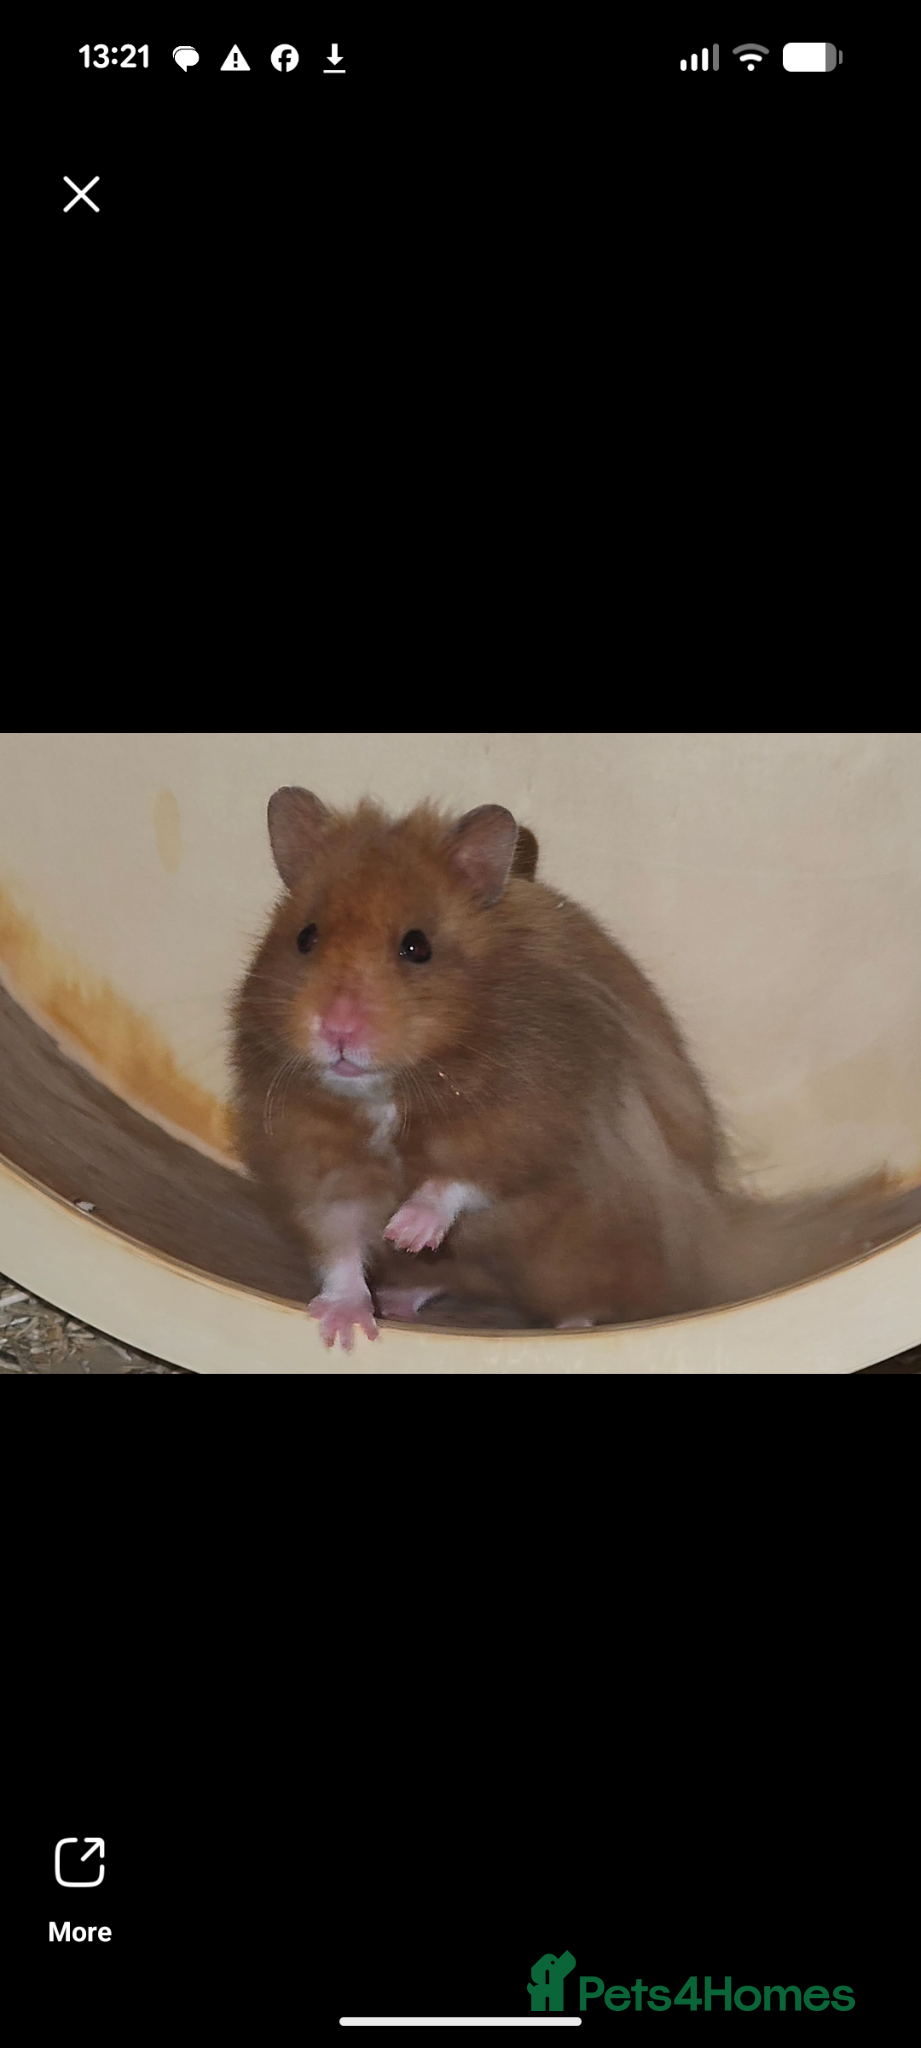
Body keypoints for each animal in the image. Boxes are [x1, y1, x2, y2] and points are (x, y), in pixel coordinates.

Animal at [230, 788, 921, 1351]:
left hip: (584, 1252)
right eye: (305, 938)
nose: (338, 1031)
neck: (395, 1086)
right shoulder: (315, 1164)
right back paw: (399, 1299)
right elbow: (339, 1244)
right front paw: (344, 1330)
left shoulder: (532, 1122)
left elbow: (462, 1175)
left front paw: (407, 1231)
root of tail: (713, 1242)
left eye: (416, 947)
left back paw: (565, 1328)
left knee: (593, 1301)